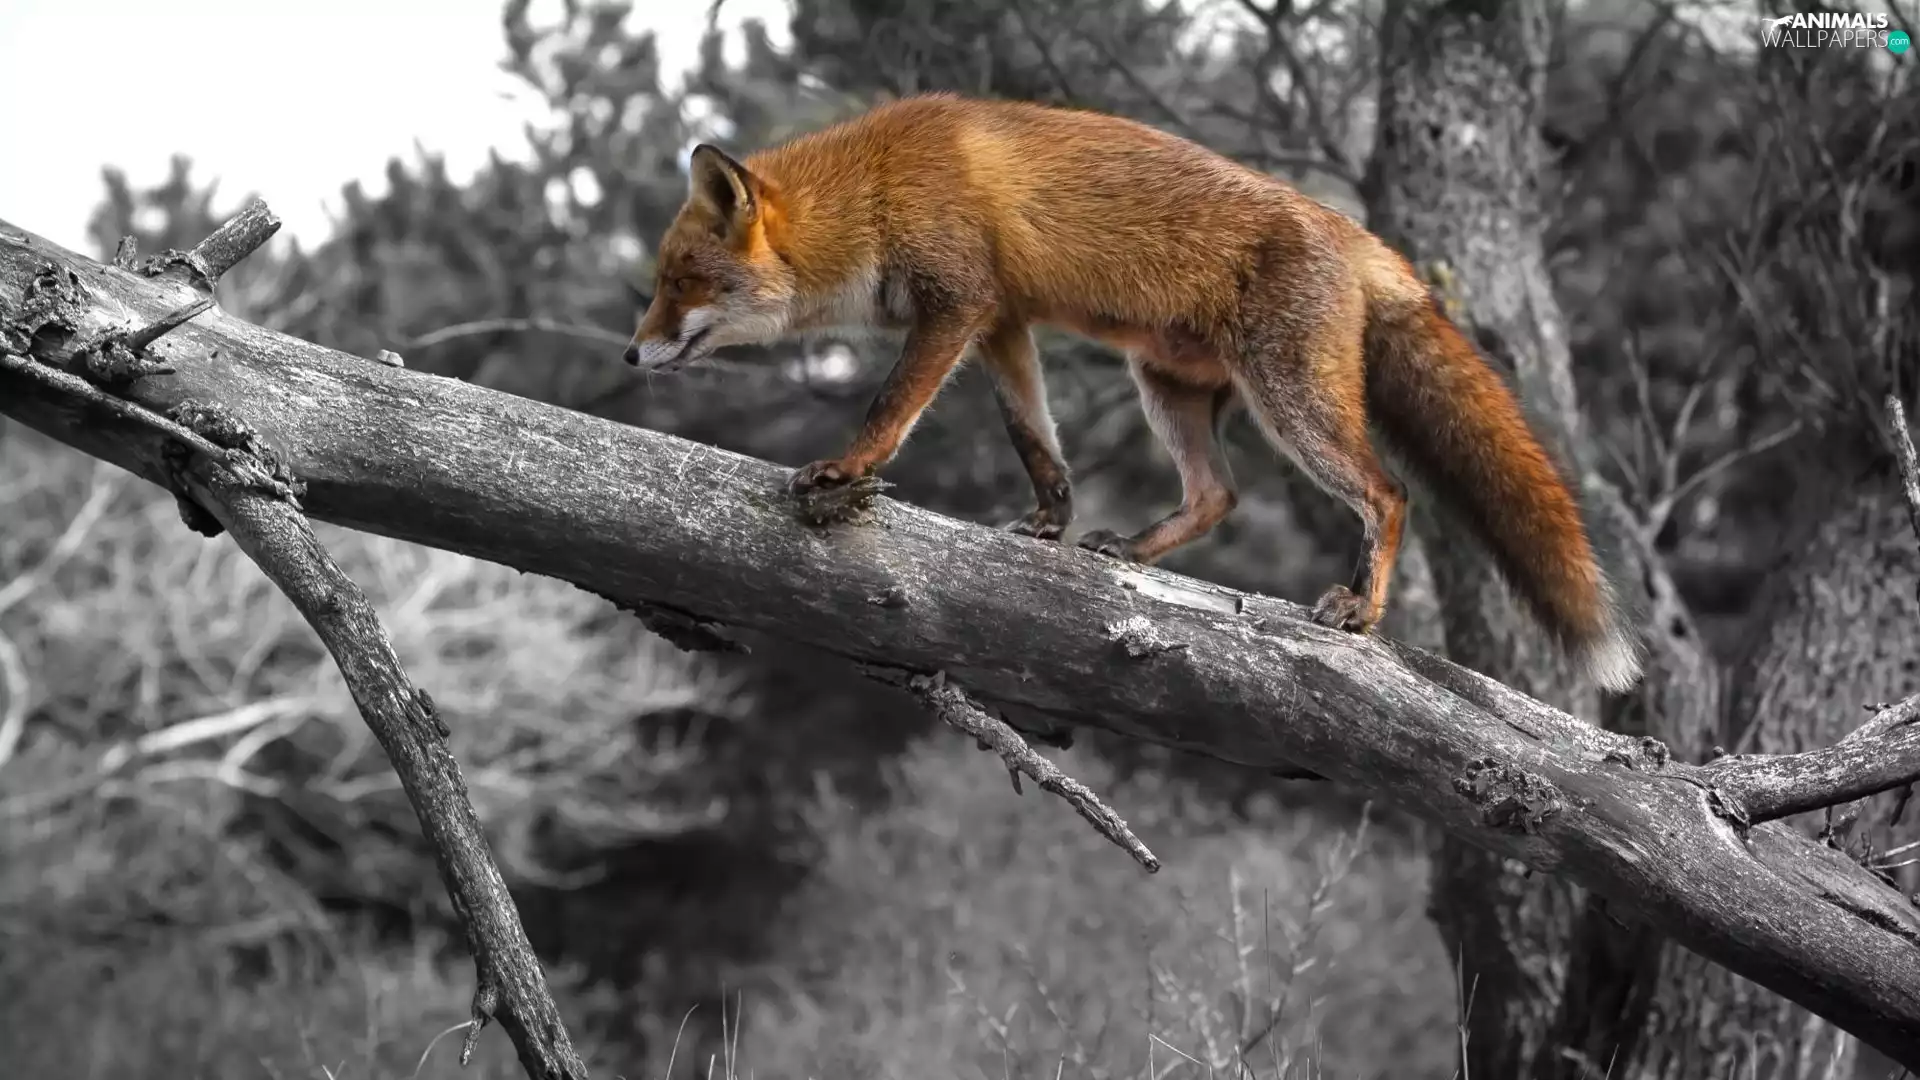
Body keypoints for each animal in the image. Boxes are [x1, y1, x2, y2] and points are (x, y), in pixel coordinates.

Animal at [623, 93, 1644, 692]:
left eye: (679, 282)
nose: (631, 356)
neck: (875, 189)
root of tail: (1356, 235)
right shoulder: (1002, 321)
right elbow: (1034, 436)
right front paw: (1050, 521)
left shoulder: (956, 305)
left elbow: (889, 409)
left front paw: (844, 469)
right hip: (1167, 389)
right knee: (1218, 494)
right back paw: (1135, 551)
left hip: (1291, 403)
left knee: (1387, 492)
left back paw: (1361, 611)